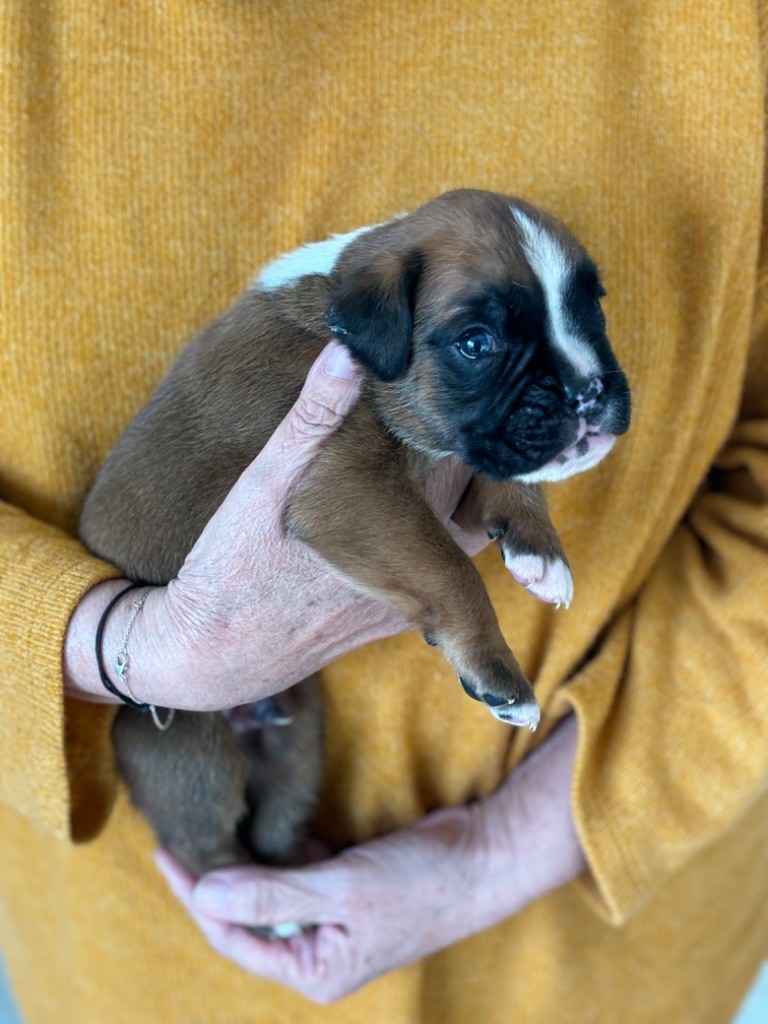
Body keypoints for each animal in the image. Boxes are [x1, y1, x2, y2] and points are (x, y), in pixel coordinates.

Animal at [79, 193, 630, 888]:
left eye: (592, 309)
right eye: (477, 343)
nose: (588, 389)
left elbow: (508, 475)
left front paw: (537, 543)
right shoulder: (346, 488)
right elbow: (453, 572)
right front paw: (496, 670)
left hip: (299, 740)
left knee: (277, 816)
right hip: (189, 751)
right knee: (210, 848)